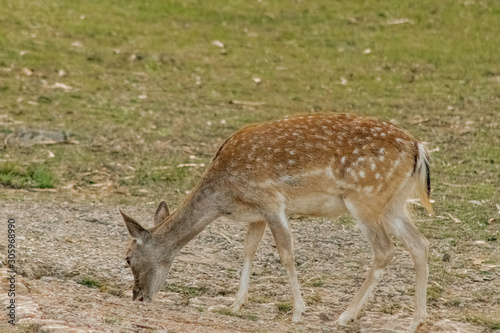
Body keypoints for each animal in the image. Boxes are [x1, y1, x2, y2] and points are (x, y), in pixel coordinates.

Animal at [119, 113, 432, 330]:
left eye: (128, 258)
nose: (137, 296)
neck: (223, 196)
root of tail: (419, 148)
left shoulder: (271, 202)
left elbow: (286, 254)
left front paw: (298, 312)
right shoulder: (256, 214)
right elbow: (248, 250)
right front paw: (235, 304)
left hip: (365, 198)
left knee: (385, 250)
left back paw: (345, 316)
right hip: (393, 204)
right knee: (420, 244)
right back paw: (415, 321)